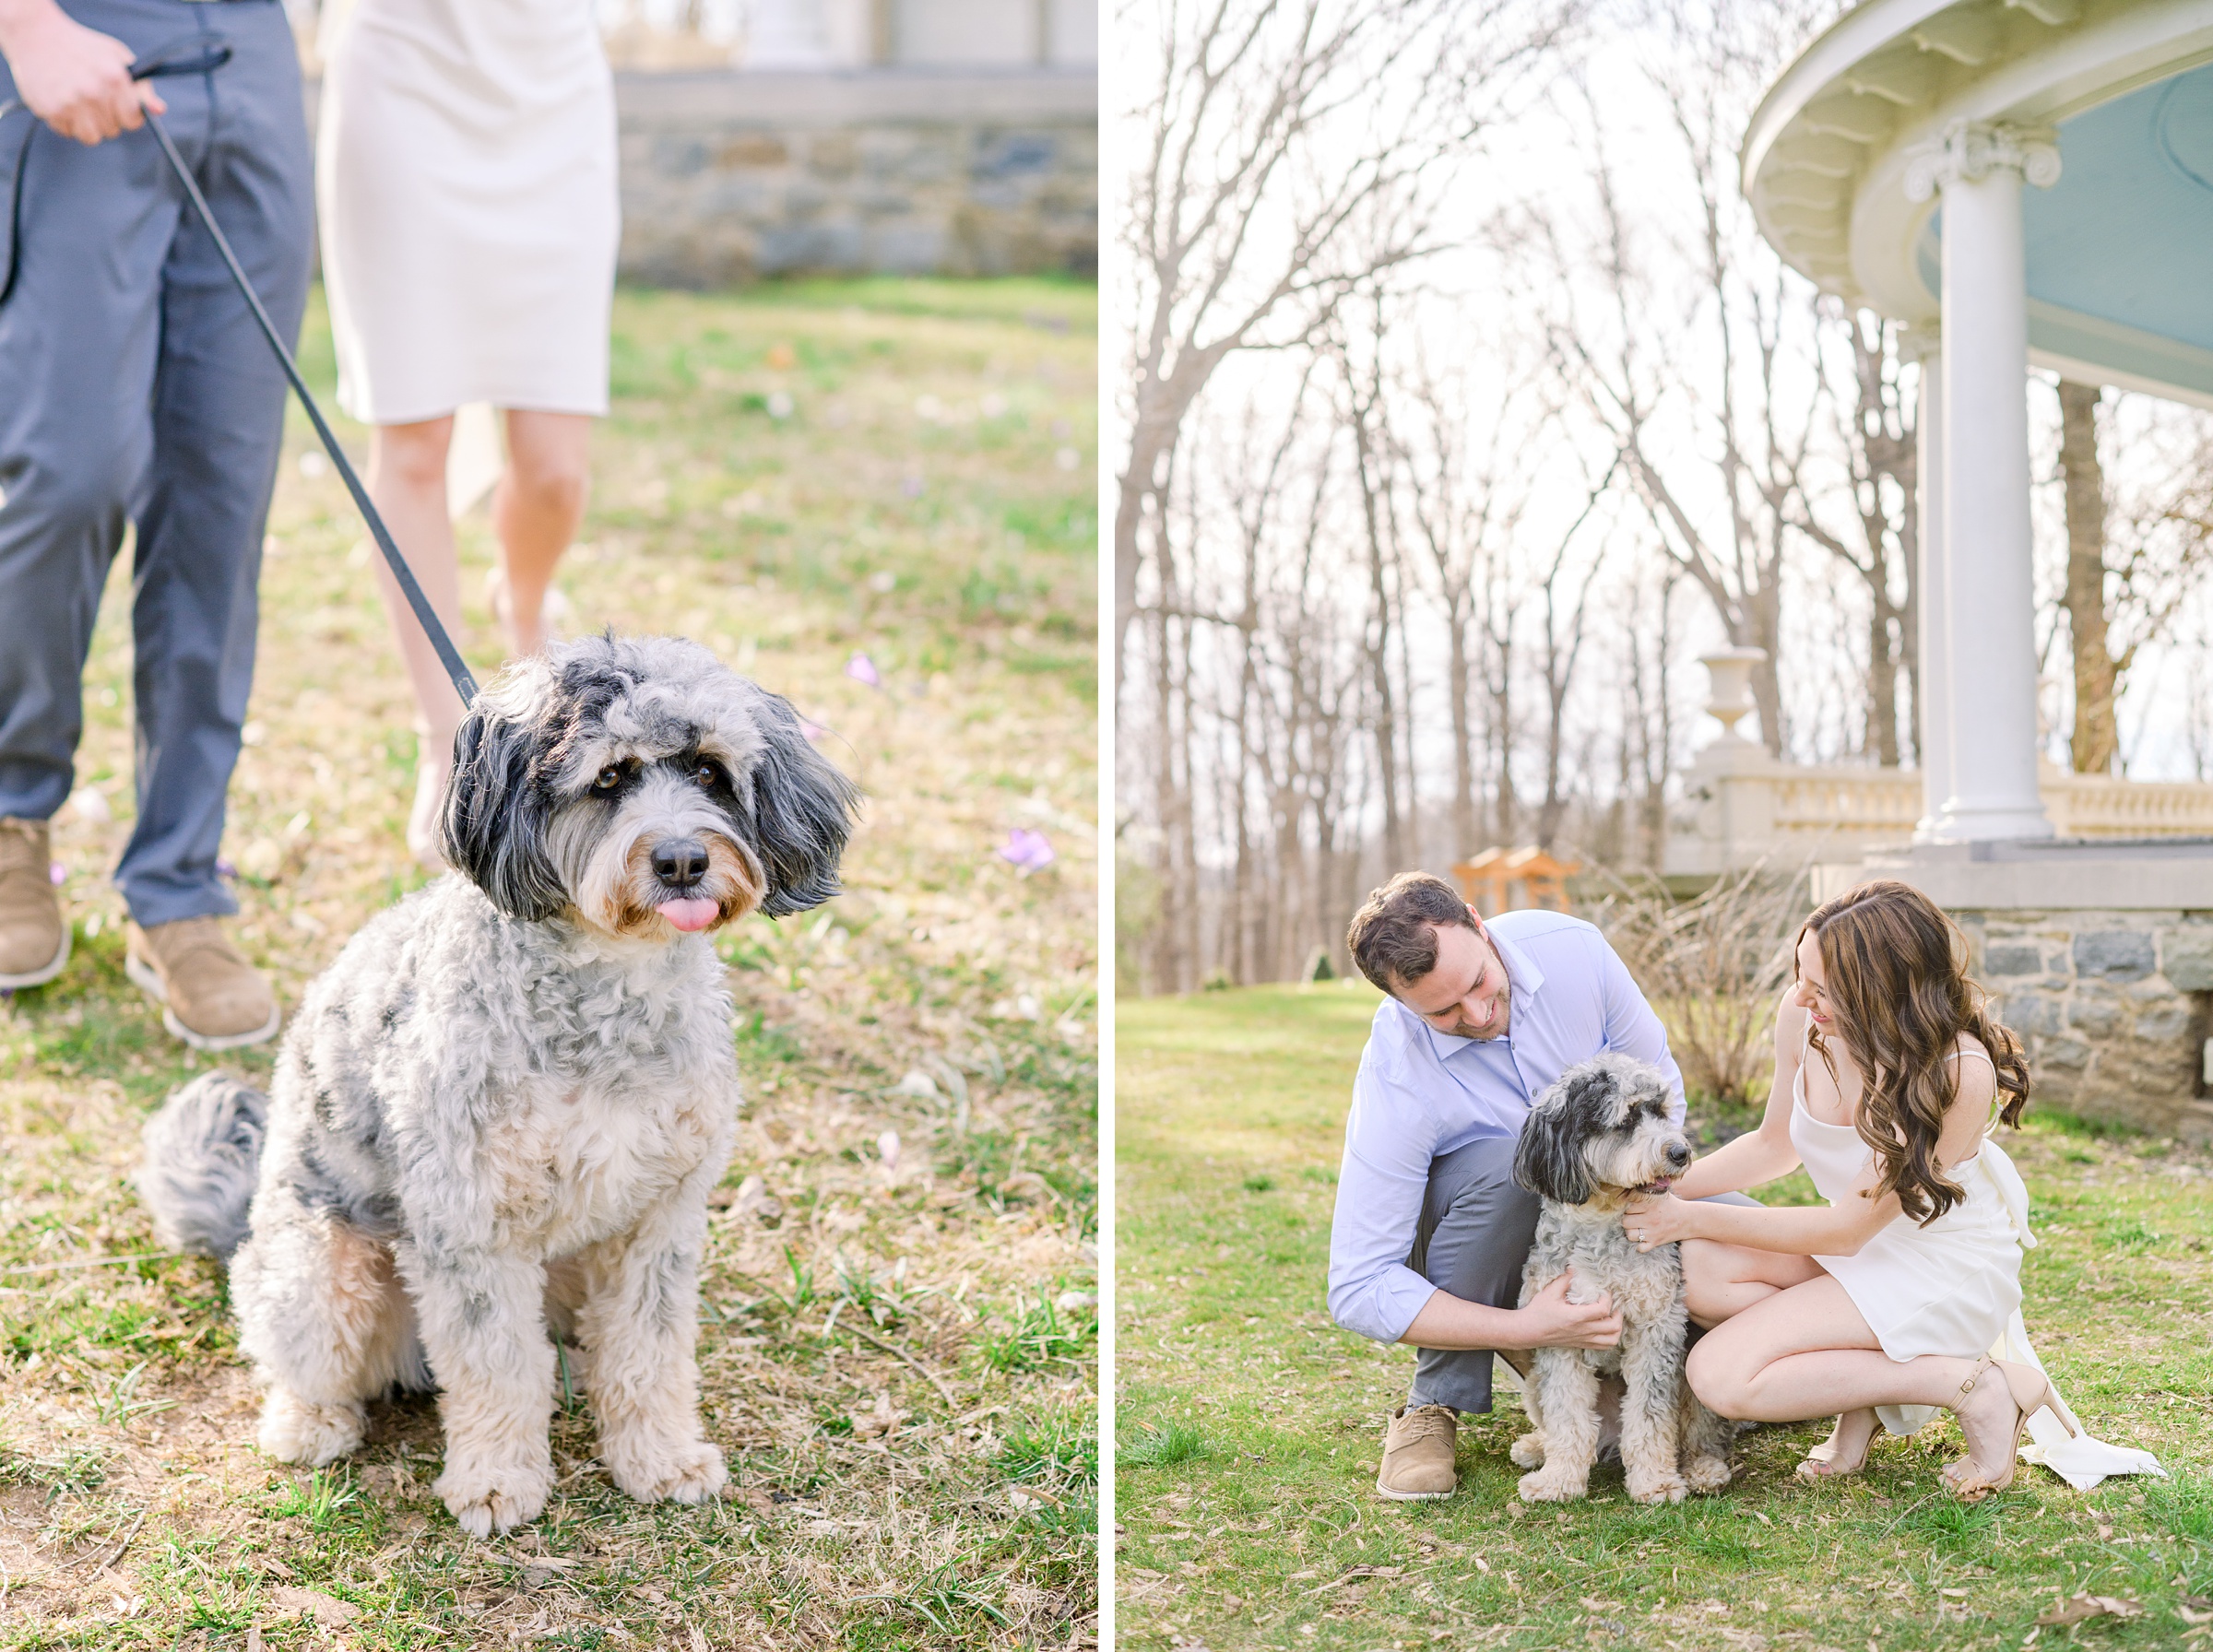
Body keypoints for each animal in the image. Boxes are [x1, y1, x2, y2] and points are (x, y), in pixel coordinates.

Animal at [131, 632, 854, 1539]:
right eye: (609, 778)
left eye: (710, 771)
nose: (683, 861)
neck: (606, 995)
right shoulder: (471, 1228)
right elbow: (496, 1366)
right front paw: (498, 1481)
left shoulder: (660, 1219)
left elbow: (649, 1351)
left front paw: (658, 1457)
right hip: (320, 1276)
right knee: (306, 1360)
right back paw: (310, 1424)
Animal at [1513, 1061, 1734, 1512]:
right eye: (1627, 1119)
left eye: (1660, 1111)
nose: (1680, 1152)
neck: (1601, 1226)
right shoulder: (1560, 1335)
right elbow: (1567, 1415)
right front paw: (1558, 1481)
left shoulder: (1658, 1329)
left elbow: (1650, 1415)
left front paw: (1655, 1483)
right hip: (1532, 1381)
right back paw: (1537, 1447)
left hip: (1694, 1373)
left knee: (1698, 1433)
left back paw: (1703, 1469)